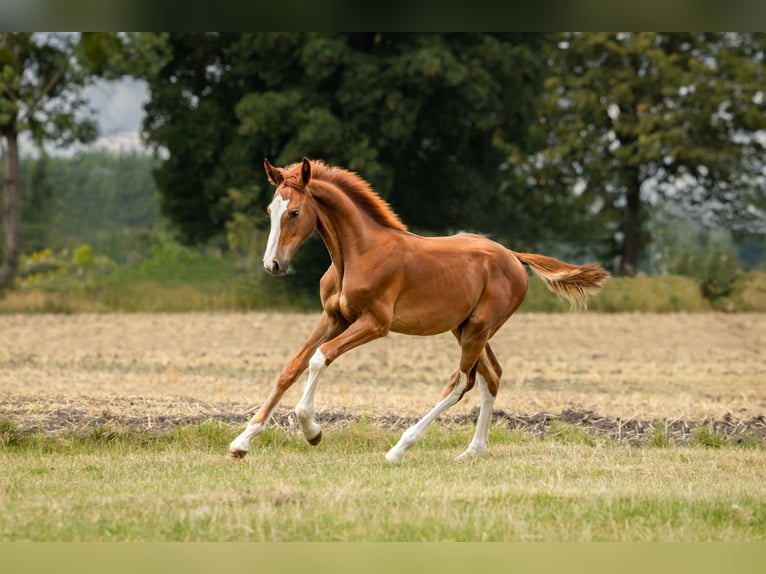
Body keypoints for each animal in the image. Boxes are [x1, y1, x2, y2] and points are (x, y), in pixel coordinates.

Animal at [228, 158, 612, 464]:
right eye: (270, 211)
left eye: (294, 212)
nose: (273, 265)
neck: (357, 253)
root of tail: (513, 256)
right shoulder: (334, 317)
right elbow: (291, 367)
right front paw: (241, 442)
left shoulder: (375, 323)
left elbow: (320, 358)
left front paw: (312, 430)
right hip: (466, 327)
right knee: (491, 376)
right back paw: (471, 451)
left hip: (478, 328)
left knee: (461, 381)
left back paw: (400, 448)